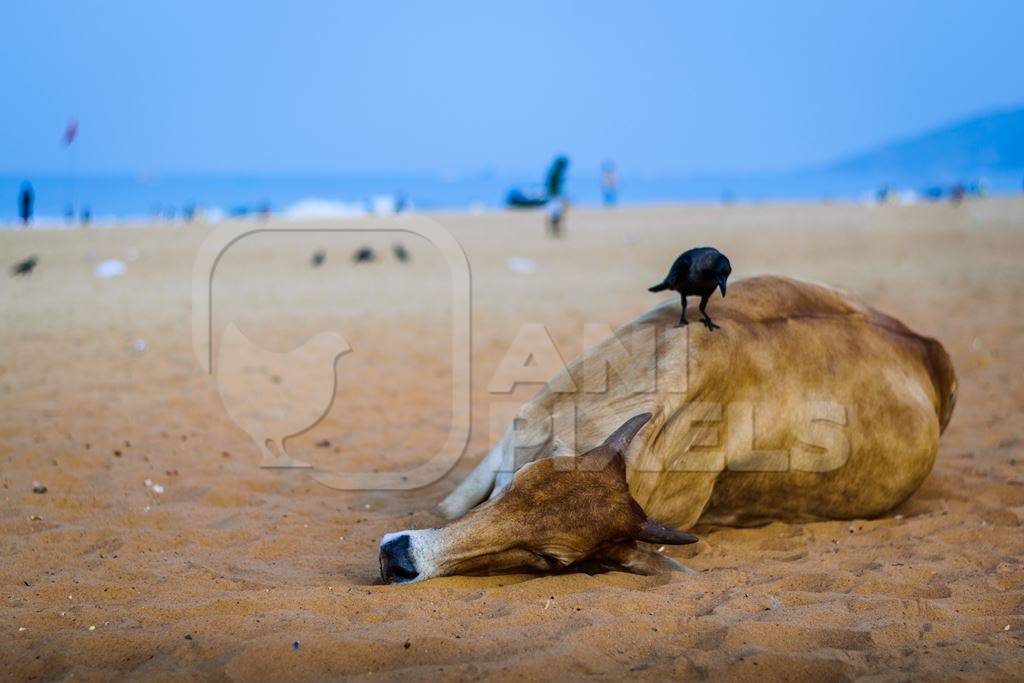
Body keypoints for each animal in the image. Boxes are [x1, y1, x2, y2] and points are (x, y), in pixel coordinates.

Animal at [380, 274, 954, 585]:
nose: (399, 558)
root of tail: (923, 343)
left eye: (552, 559)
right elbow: (446, 508)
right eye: (522, 481)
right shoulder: (504, 445)